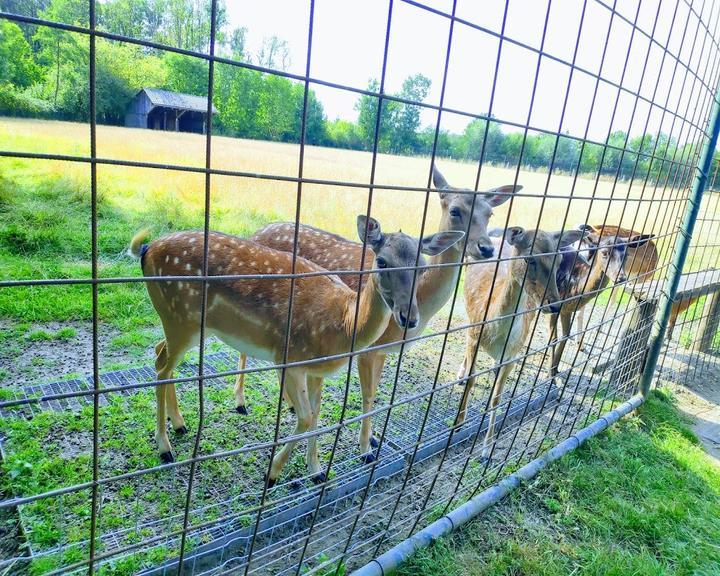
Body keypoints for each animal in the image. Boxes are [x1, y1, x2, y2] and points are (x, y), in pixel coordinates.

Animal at [130, 214, 464, 484]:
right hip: (179, 315)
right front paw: (273, 473)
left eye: (422, 266)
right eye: (381, 261)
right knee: (161, 367)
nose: (409, 317)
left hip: (183, 323)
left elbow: (316, 418)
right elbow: (305, 418)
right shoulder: (288, 357)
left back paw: (180, 424)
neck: (344, 324)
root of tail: (147, 250)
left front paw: (316, 471)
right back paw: (165, 448)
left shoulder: (316, 370)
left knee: (160, 355)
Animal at [235, 165, 516, 460]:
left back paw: (288, 403)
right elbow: (368, 395)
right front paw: (365, 449)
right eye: (455, 210)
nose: (486, 248)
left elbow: (377, 391)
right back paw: (241, 402)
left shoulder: (383, 350)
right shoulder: (366, 347)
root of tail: (256, 231)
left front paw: (373, 438)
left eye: (490, 213)